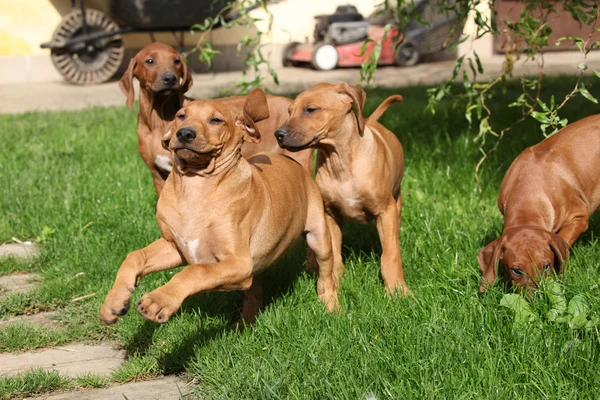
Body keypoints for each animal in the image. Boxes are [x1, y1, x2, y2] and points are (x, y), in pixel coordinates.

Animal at [120, 41, 312, 195]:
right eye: (149, 61)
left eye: (176, 61)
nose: (170, 78)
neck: (157, 119)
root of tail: (293, 104)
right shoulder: (157, 175)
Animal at [276, 82, 408, 294]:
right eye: (289, 111)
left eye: (310, 109)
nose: (278, 135)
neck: (340, 161)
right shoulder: (330, 214)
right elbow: (334, 255)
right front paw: (335, 283)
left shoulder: (386, 212)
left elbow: (390, 254)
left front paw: (397, 290)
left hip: (396, 203)